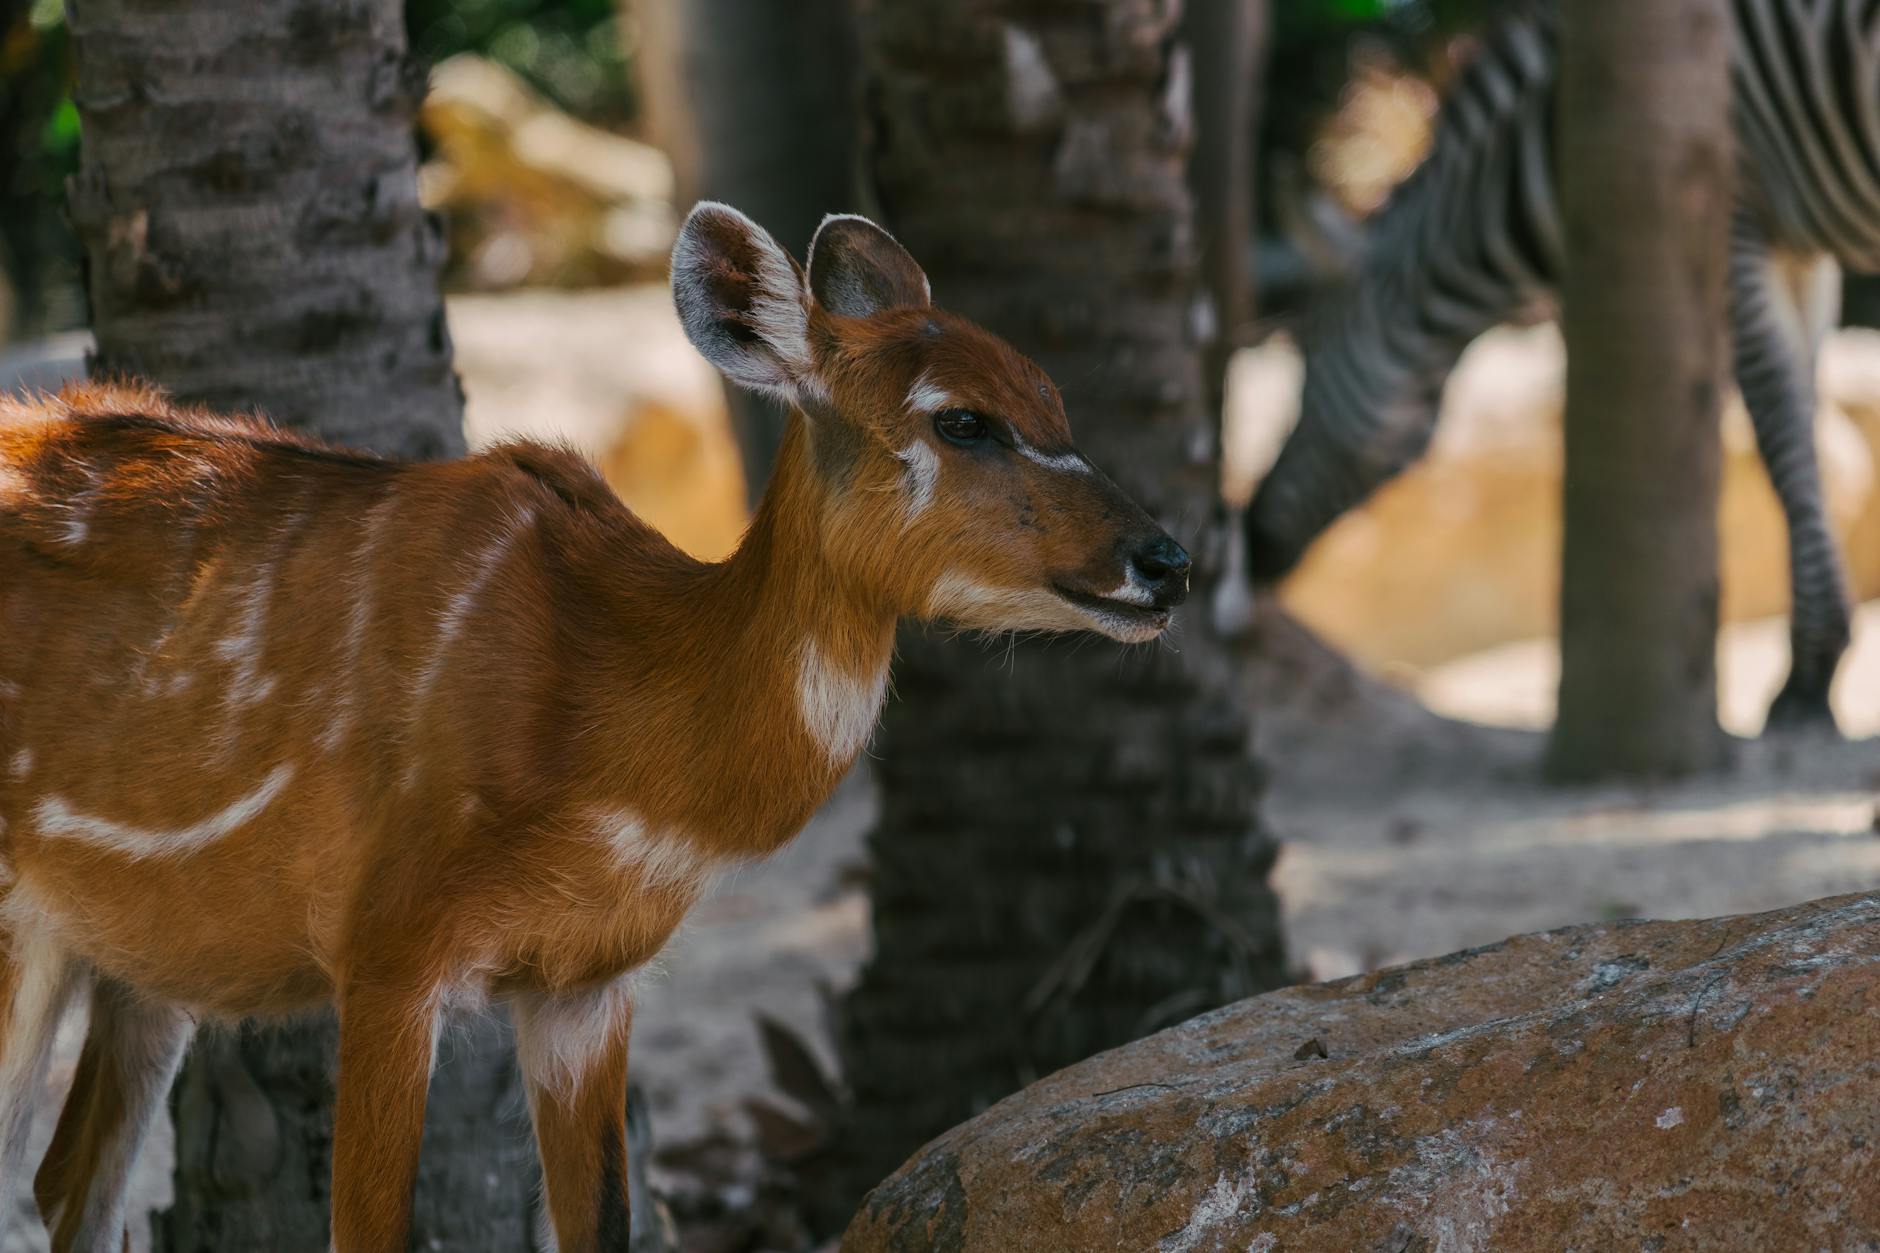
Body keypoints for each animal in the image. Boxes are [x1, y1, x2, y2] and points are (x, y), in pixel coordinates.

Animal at [0, 204, 1191, 1251]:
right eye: (960, 419)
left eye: (1053, 398)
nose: (1167, 559)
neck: (602, 706)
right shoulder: (384, 950)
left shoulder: (586, 984)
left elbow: (604, 1222)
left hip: (137, 960)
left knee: (68, 1183)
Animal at [1246, 0, 1871, 731]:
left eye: (1306, 365)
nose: (1252, 539)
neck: (1544, 144)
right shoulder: (1799, 248)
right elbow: (1804, 415)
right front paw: (1821, 655)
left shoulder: (1733, 212)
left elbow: (1780, 425)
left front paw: (1808, 676)